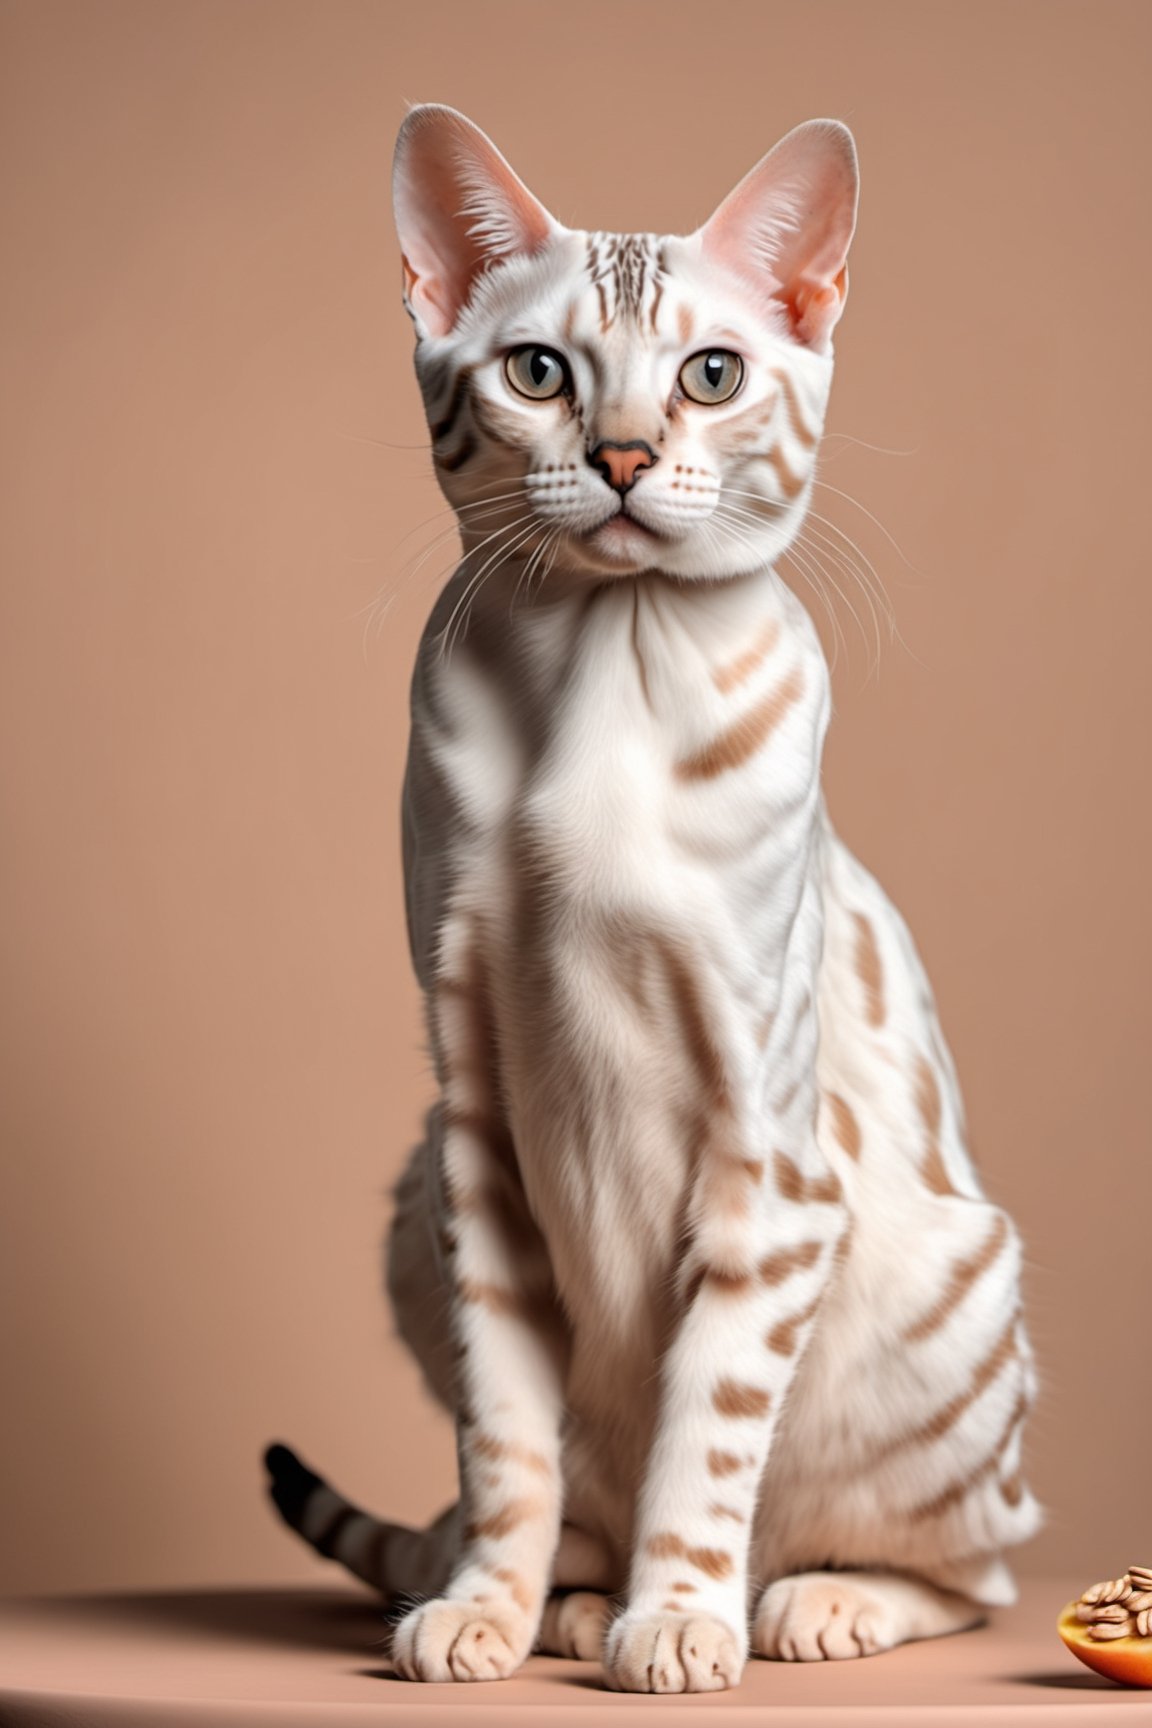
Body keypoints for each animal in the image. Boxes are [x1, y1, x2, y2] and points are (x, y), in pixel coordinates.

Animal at [265, 104, 1043, 1686]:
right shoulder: (476, 1129)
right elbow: (503, 1440)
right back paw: (567, 1599)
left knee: (974, 1564)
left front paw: (680, 1624)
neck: (603, 668)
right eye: (539, 371)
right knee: (566, 1498)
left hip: (957, 1286)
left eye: (711, 374)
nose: (622, 454)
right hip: (410, 1211)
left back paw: (806, 1604)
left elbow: (709, 1432)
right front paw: (487, 1613)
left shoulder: (765, 1158)